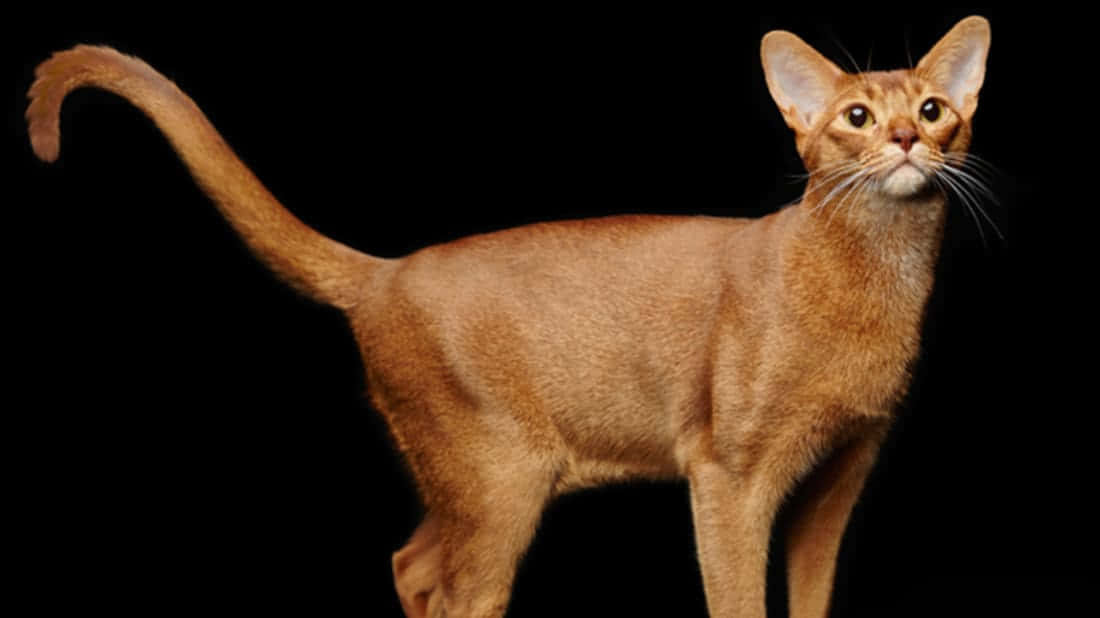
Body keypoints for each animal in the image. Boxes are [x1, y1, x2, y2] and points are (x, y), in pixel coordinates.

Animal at [25, 14, 994, 615]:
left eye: (934, 109)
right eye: (856, 116)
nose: (906, 140)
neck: (869, 277)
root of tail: (386, 274)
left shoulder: (843, 472)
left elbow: (810, 599)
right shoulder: (728, 476)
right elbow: (737, 604)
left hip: (473, 483)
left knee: (413, 566)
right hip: (499, 480)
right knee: (456, 590)